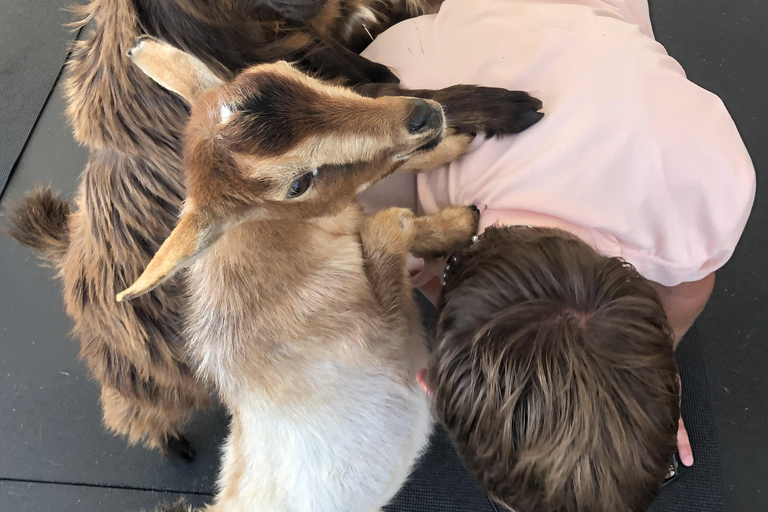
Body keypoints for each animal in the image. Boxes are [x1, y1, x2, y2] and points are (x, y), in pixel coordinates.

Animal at [5, 0, 538, 458]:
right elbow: (421, 100)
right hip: (146, 378)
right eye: (297, 182)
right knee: (132, 409)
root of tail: (67, 259)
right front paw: (508, 108)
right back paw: (171, 443)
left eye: (292, 77)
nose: (423, 120)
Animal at [115, 37, 540, 511]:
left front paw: (454, 154)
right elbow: (394, 223)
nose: (423, 116)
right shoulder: (390, 338)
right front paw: (461, 220)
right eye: (298, 184)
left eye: (289, 69)